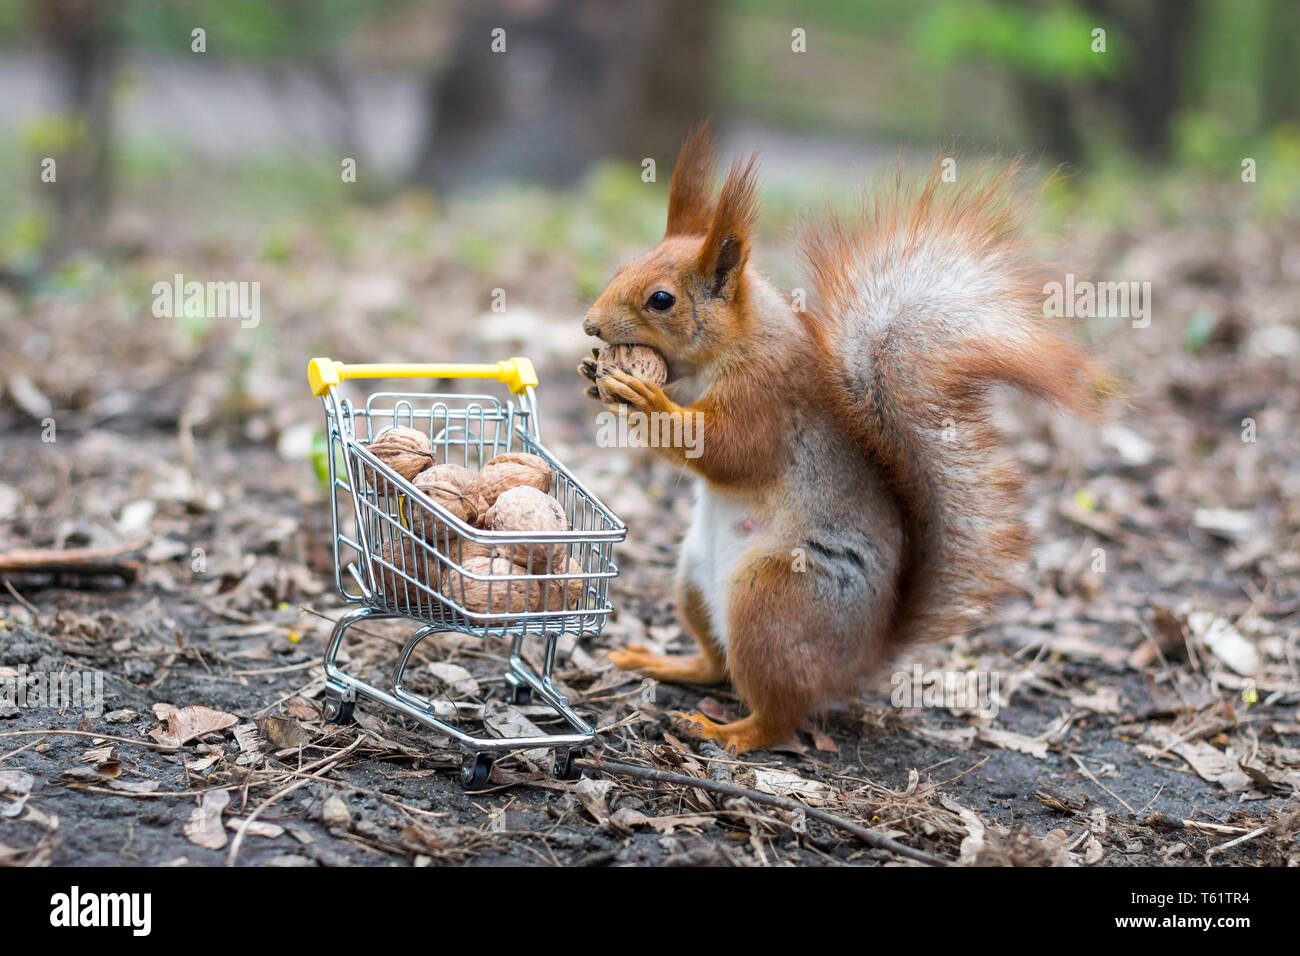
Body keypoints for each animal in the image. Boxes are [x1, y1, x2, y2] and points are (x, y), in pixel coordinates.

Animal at [579, 124, 1103, 754]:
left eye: (662, 299)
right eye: (623, 268)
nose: (589, 324)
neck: (731, 346)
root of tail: (862, 657)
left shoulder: (767, 397)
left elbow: (730, 451)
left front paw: (647, 399)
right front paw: (597, 377)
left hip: (774, 601)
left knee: (779, 712)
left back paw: (726, 731)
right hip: (691, 580)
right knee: (715, 664)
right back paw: (667, 664)